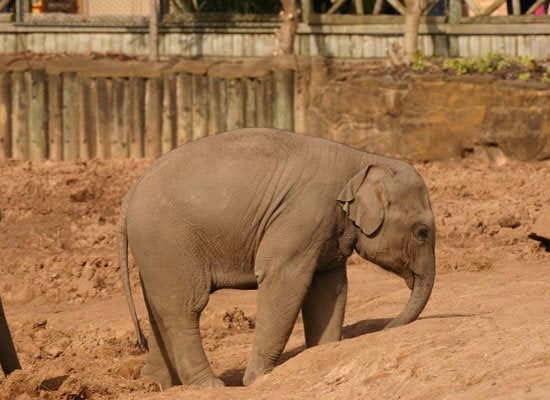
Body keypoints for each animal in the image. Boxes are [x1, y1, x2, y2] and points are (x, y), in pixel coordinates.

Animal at [118, 127, 438, 388]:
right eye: (422, 232)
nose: (385, 328)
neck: (363, 161)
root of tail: (130, 193)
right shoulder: (303, 215)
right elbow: (285, 280)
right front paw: (258, 378)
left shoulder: (327, 230)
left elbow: (330, 289)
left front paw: (324, 352)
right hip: (169, 240)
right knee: (186, 307)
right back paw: (208, 385)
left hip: (155, 250)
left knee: (159, 308)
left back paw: (156, 384)